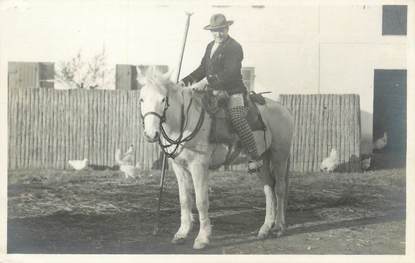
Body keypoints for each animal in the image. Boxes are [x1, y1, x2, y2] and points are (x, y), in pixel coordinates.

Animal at [138, 68, 294, 250]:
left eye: (163, 99)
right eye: (142, 99)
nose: (151, 134)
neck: (185, 122)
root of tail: (284, 110)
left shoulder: (199, 166)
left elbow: (201, 201)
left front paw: (202, 238)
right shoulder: (179, 167)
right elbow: (184, 200)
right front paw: (182, 233)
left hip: (279, 156)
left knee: (280, 189)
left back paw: (279, 227)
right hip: (261, 160)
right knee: (269, 188)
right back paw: (265, 228)